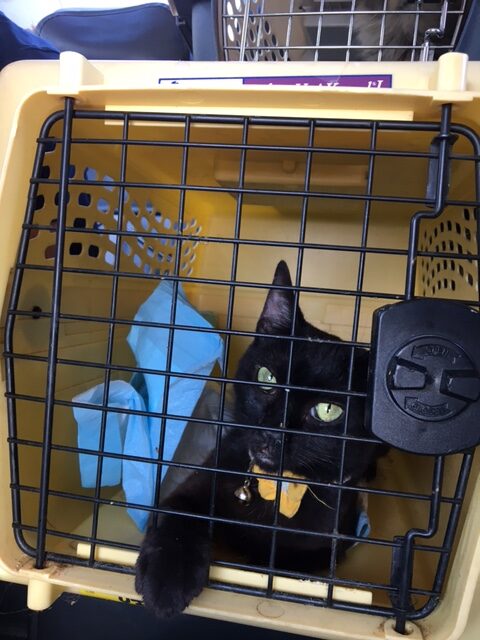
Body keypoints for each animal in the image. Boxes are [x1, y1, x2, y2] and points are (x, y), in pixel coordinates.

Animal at [135, 260, 386, 618]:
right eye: (267, 378)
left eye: (328, 410)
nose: (273, 430)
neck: (275, 489)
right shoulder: (199, 482)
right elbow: (178, 514)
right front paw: (165, 584)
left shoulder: (326, 547)